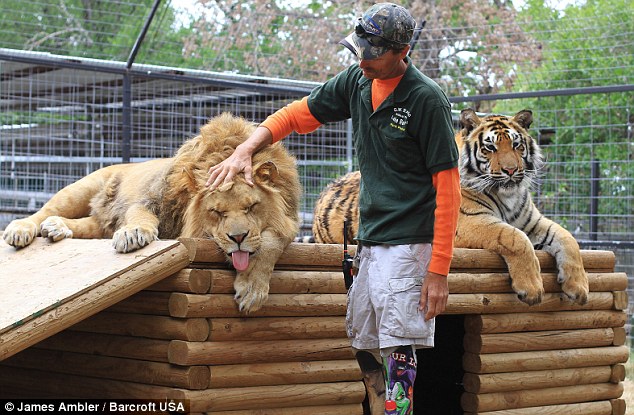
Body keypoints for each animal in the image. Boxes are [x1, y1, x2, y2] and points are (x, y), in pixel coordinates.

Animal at [3, 112, 302, 314]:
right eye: (216, 212)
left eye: (251, 207)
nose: (238, 238)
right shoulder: (150, 200)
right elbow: (141, 216)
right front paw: (134, 234)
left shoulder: (288, 221)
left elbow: (272, 242)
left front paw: (252, 290)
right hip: (81, 189)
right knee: (42, 211)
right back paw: (21, 230)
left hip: (99, 223)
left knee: (85, 225)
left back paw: (56, 228)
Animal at [312, 109, 588, 308]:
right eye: (490, 147)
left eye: (517, 145)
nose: (511, 170)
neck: (508, 195)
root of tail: (325, 190)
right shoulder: (470, 222)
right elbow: (514, 237)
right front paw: (531, 288)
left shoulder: (532, 221)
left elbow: (567, 238)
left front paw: (579, 287)